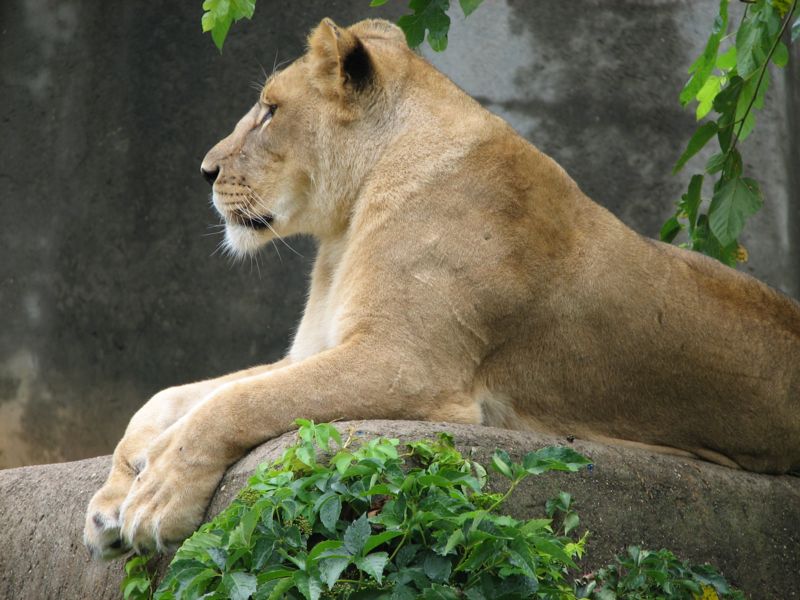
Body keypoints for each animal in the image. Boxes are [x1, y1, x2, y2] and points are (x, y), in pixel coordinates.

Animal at [84, 17, 800, 559]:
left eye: (269, 111)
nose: (204, 171)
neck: (346, 224)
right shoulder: (319, 348)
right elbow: (174, 398)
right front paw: (112, 500)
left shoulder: (405, 362)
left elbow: (234, 404)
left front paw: (156, 498)